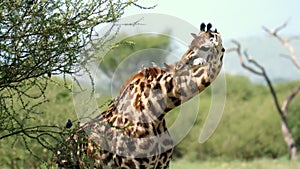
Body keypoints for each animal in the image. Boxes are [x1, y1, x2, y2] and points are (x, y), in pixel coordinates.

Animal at [55, 22, 225, 169]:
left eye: (205, 47)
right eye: (191, 45)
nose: (181, 65)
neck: (156, 112)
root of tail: (61, 145)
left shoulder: (162, 165)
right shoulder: (132, 165)